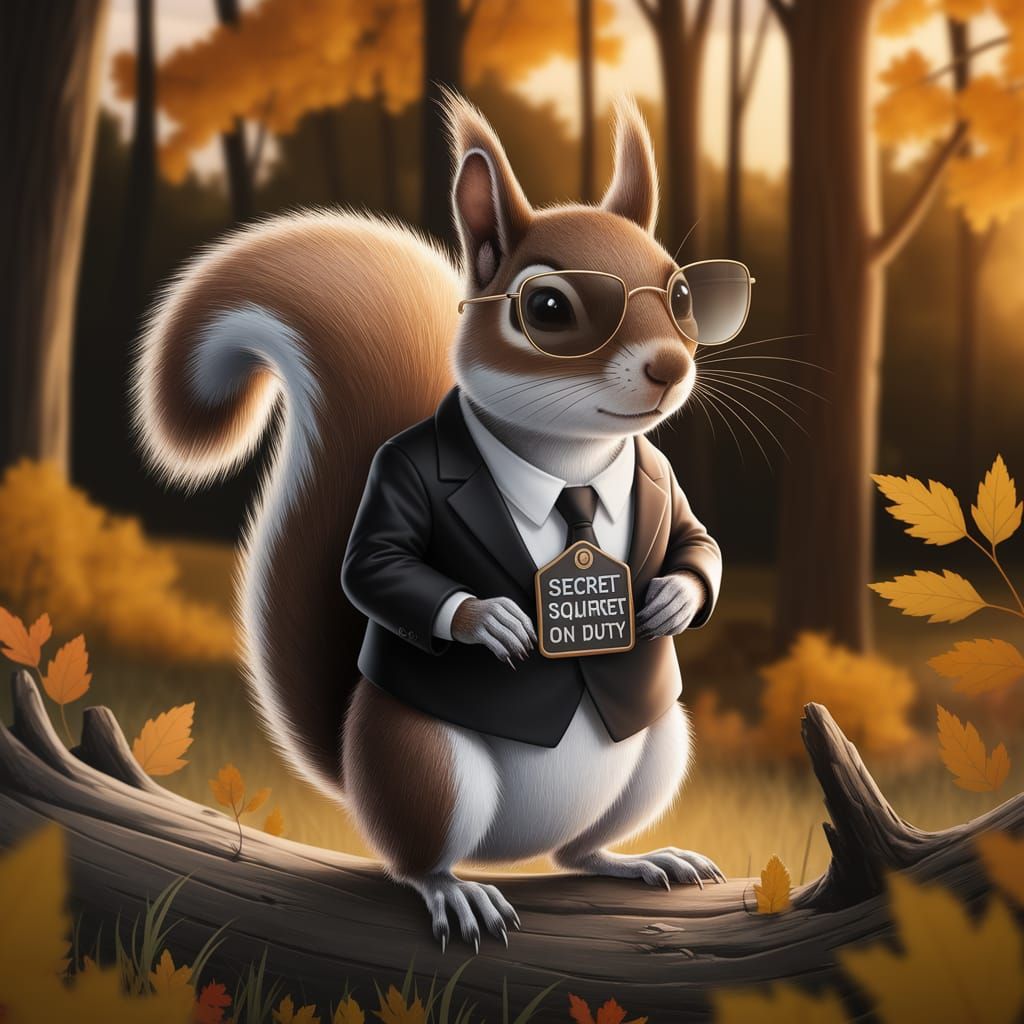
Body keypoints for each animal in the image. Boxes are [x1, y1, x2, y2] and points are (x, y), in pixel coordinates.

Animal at [133, 92, 727, 951]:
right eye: (548, 308)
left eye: (681, 296)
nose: (670, 367)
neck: (568, 462)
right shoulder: (398, 480)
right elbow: (377, 568)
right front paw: (491, 620)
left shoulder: (661, 480)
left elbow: (697, 543)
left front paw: (675, 598)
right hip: (424, 765)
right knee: (417, 860)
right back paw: (456, 891)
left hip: (656, 746)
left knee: (579, 852)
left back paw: (640, 858)